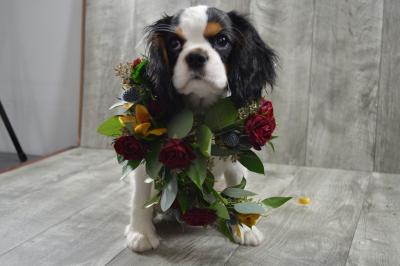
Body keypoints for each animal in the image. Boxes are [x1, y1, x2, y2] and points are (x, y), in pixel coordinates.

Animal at [123, 5, 276, 252]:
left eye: (222, 40)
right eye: (175, 43)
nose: (195, 56)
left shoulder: (236, 157)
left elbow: (238, 187)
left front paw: (244, 226)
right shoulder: (148, 157)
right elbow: (140, 196)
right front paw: (140, 233)